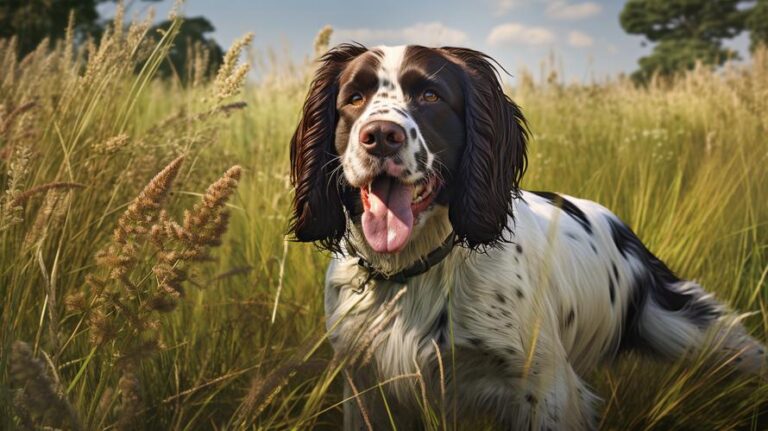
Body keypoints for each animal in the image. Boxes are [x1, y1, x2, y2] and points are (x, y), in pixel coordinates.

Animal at [286, 45, 760, 430]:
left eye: (430, 96)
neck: (414, 273)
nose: (382, 136)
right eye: (354, 98)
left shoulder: (544, 391)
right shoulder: (366, 387)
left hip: (694, 331)